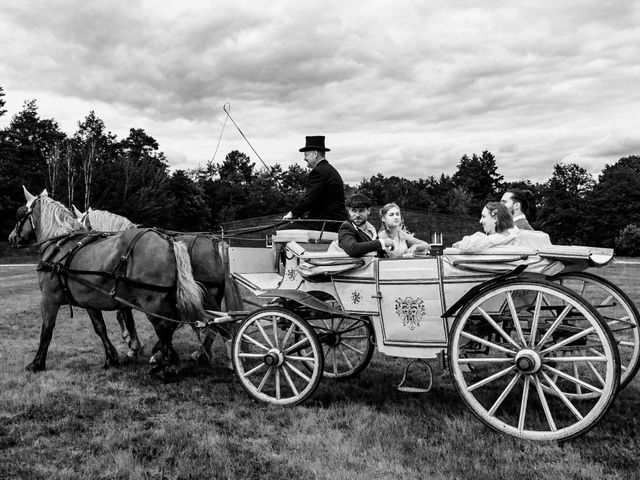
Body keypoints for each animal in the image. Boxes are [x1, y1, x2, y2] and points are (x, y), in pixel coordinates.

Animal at [8, 188, 206, 376]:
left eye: (20, 214)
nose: (11, 237)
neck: (59, 246)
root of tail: (169, 241)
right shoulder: (89, 300)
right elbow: (100, 328)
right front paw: (112, 358)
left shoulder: (49, 299)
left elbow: (46, 331)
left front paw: (37, 363)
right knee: (175, 323)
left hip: (152, 301)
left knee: (164, 327)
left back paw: (168, 365)